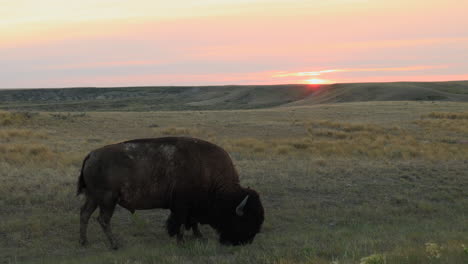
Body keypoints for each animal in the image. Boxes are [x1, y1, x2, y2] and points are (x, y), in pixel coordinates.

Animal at [78, 137, 266, 249]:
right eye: (245, 219)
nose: (246, 241)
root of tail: (91, 155)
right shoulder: (182, 206)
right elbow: (181, 223)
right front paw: (181, 241)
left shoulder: (189, 207)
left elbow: (192, 222)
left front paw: (199, 236)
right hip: (107, 200)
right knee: (103, 219)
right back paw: (115, 245)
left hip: (93, 198)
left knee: (85, 214)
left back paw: (84, 242)